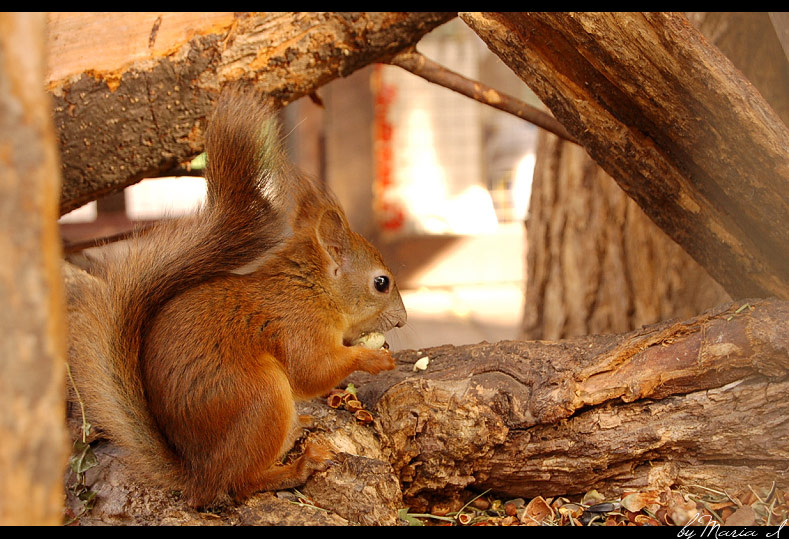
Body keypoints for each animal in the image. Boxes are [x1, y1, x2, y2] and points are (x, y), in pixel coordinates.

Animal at [65, 89, 407, 507]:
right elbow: (312, 371)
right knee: (240, 483)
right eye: (381, 283)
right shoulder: (297, 326)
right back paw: (298, 467)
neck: (312, 291)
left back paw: (298, 428)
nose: (402, 320)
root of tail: (197, 477)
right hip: (262, 399)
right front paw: (373, 358)